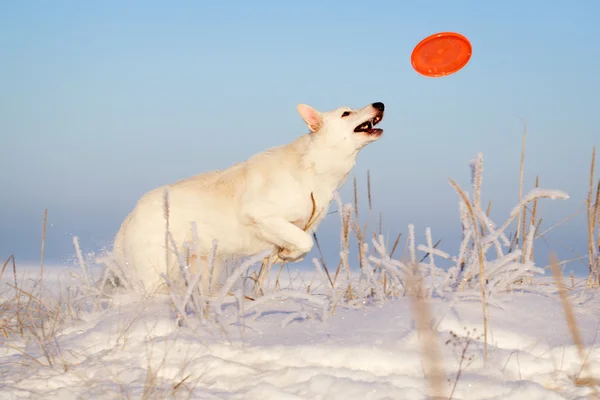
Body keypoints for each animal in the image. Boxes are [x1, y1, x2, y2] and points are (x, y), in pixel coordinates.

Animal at [110, 101, 386, 294]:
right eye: (346, 113)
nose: (380, 104)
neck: (313, 166)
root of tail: (130, 216)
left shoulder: (300, 225)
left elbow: (301, 246)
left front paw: (285, 255)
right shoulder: (260, 214)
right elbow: (305, 242)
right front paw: (286, 253)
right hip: (154, 275)